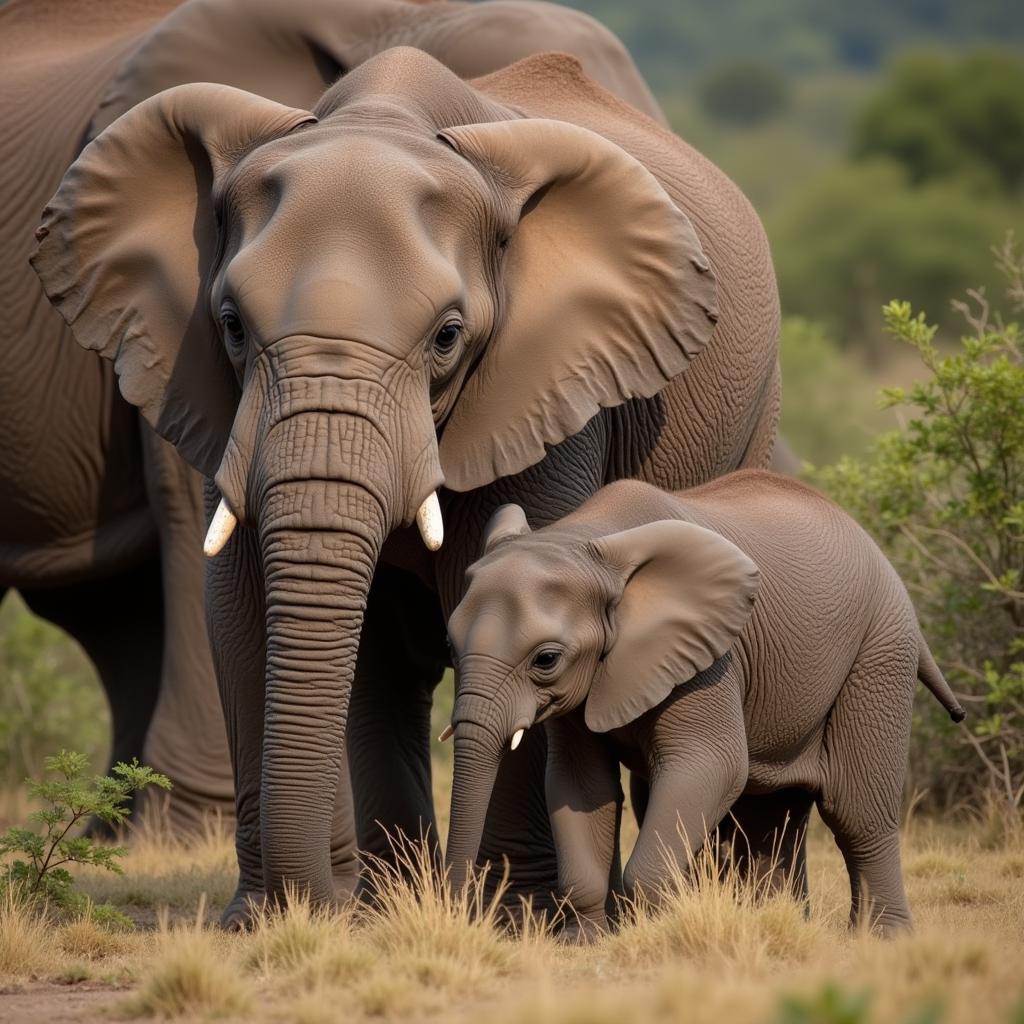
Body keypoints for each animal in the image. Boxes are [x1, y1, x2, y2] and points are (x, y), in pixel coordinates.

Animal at [34, 46, 782, 929]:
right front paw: (277, 920)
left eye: (448, 337)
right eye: (231, 325)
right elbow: (239, 604)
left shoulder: (554, 384)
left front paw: (510, 916)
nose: (319, 896)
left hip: (753, 413)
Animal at [444, 468, 962, 937]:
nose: (461, 912)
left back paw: (881, 936)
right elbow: (579, 783)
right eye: (450, 644)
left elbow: (712, 764)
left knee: (854, 811)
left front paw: (652, 932)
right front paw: (584, 941)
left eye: (546, 659)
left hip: (880, 648)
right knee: (770, 811)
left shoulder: (712, 658)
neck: (585, 539)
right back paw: (772, 922)